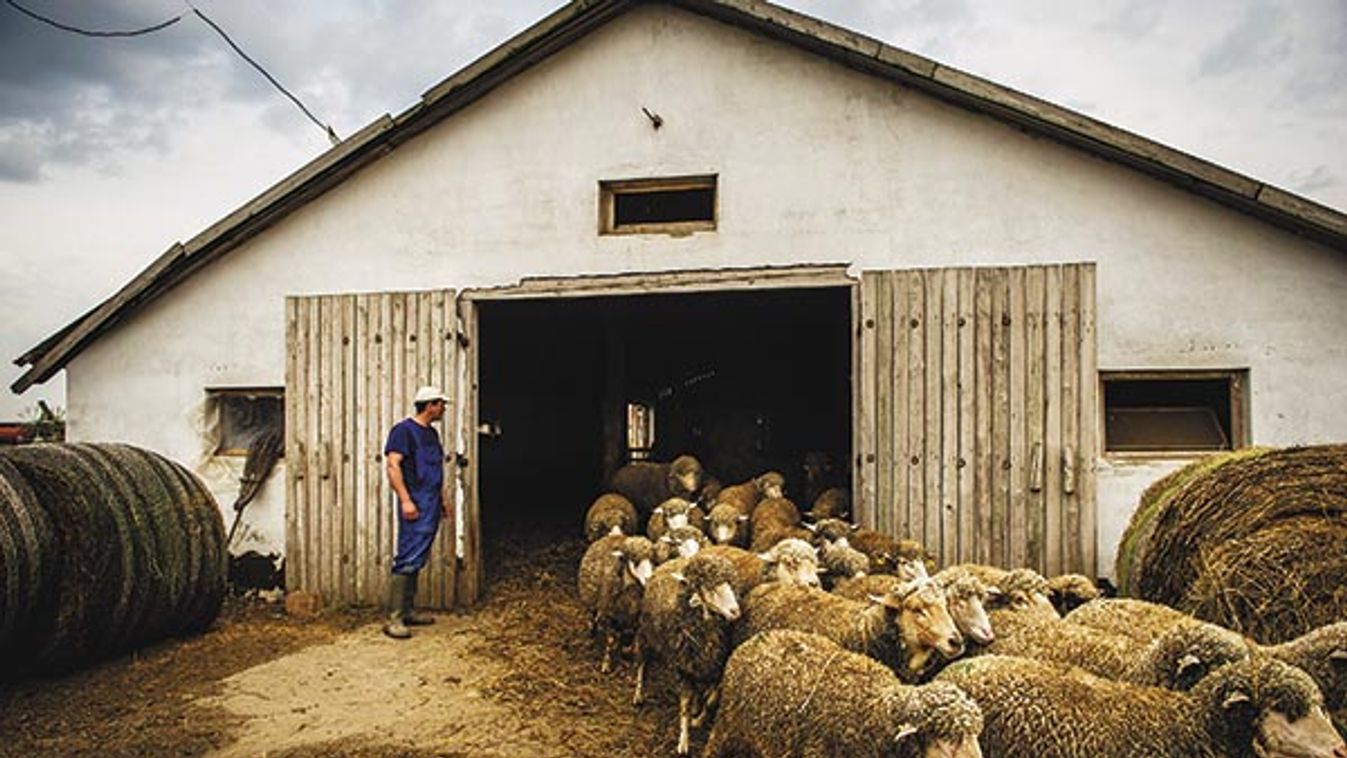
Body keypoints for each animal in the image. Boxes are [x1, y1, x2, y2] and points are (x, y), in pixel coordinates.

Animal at [573, 535, 651, 673]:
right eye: (634, 560)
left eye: (652, 560)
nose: (649, 579)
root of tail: (613, 535)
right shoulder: (608, 615)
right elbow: (610, 641)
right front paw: (606, 665)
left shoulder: (634, 621)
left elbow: (627, 643)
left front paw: (625, 658)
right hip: (592, 602)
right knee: (592, 617)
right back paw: (592, 633)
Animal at [633, 552, 743, 758]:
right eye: (709, 588)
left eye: (731, 585)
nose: (735, 611)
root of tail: (674, 559)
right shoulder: (682, 669)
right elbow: (684, 705)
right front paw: (683, 740)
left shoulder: (715, 668)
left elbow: (711, 700)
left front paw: (698, 718)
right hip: (645, 635)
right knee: (642, 664)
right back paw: (638, 694)